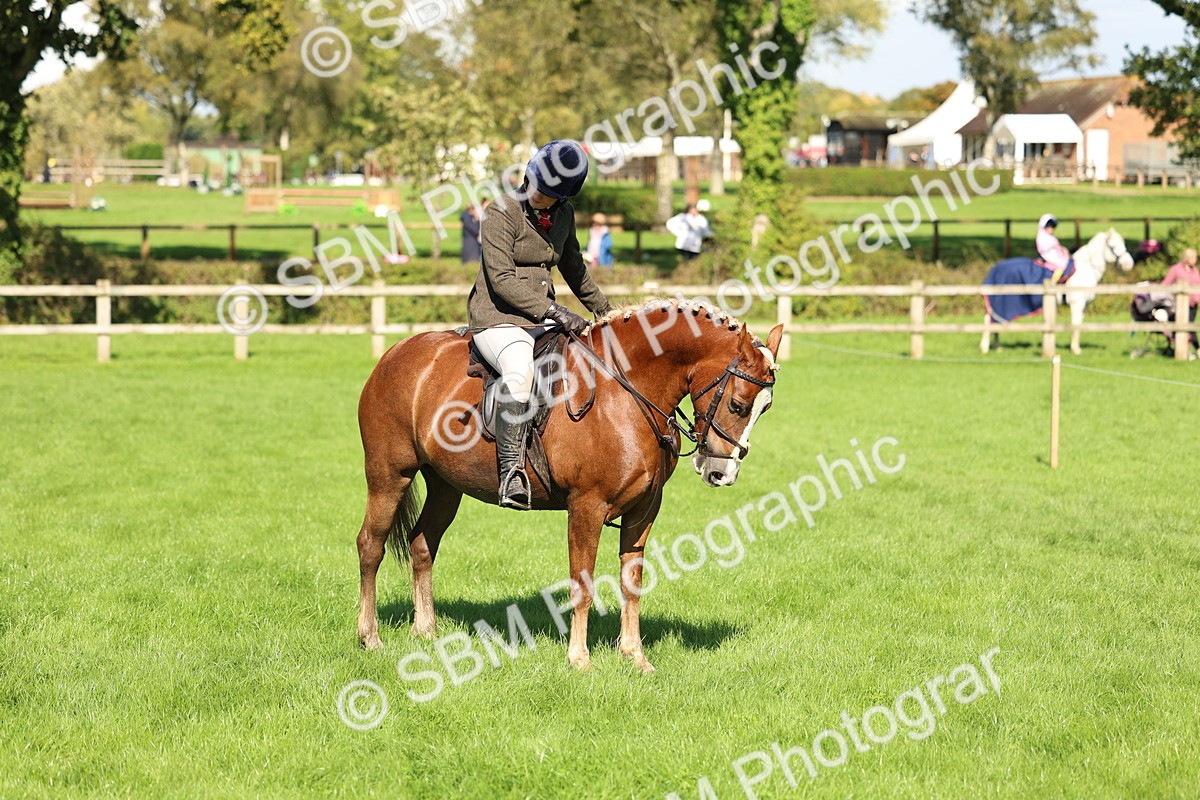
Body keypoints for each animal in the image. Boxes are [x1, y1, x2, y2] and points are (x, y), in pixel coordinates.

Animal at [354, 299, 784, 673]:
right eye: (738, 405)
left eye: (765, 409)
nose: (722, 473)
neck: (624, 393)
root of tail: (396, 353)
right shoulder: (586, 507)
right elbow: (583, 584)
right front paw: (579, 660)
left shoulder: (644, 509)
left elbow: (632, 582)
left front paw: (635, 657)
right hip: (389, 475)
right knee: (371, 545)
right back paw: (370, 637)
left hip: (446, 485)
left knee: (422, 545)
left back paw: (425, 630)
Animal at [980, 229, 1134, 355]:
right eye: (1112, 246)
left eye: (1124, 244)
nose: (1129, 264)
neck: (1086, 269)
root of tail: (995, 268)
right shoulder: (1077, 304)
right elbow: (1075, 324)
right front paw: (1075, 349)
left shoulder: (1083, 306)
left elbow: (1080, 324)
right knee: (989, 320)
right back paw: (985, 347)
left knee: (995, 321)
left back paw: (997, 347)